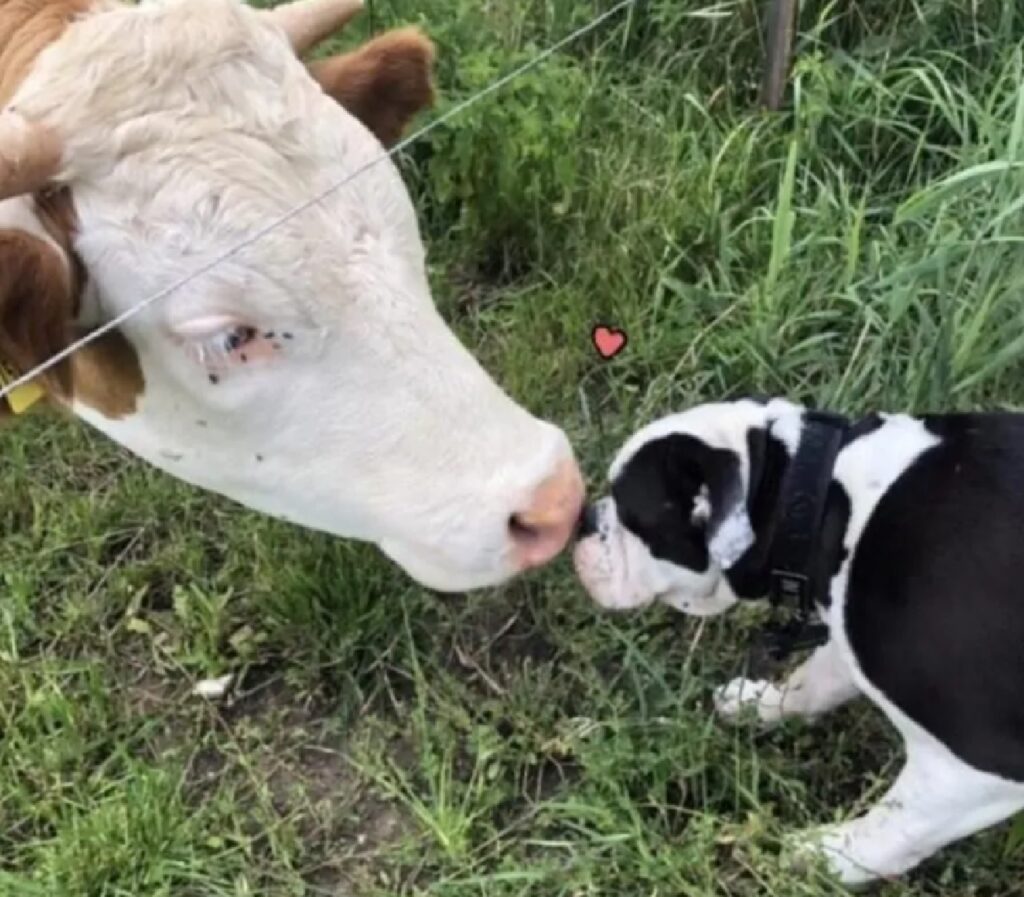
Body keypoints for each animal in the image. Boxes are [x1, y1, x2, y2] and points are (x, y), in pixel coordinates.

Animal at [573, 397, 1024, 884]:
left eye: (628, 513)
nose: (584, 518)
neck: (822, 500)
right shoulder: (845, 635)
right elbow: (812, 680)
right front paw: (758, 704)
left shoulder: (975, 767)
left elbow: (896, 826)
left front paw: (822, 857)